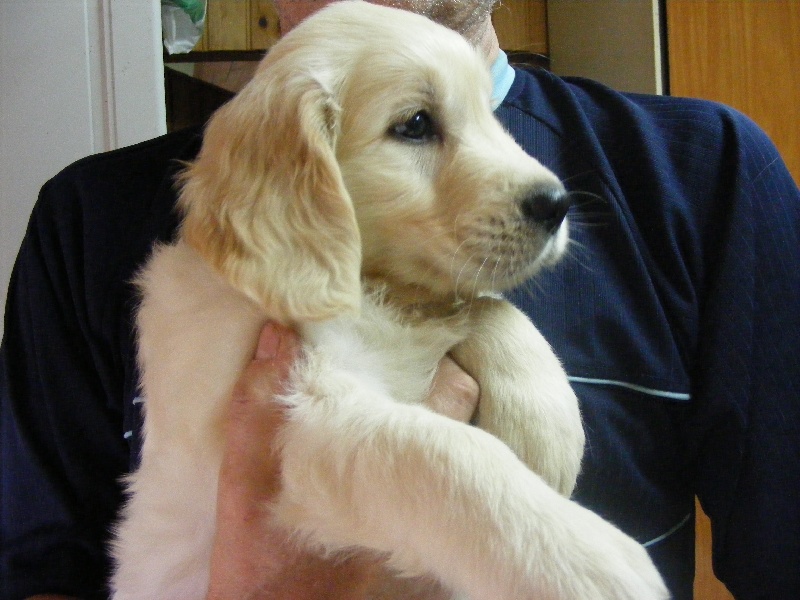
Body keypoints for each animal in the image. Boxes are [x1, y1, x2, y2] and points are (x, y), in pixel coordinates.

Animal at [108, 1, 668, 600]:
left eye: (487, 115)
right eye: (416, 125)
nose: (558, 204)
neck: (366, 290)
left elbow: (489, 305)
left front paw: (545, 426)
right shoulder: (298, 420)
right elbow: (435, 451)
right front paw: (582, 560)